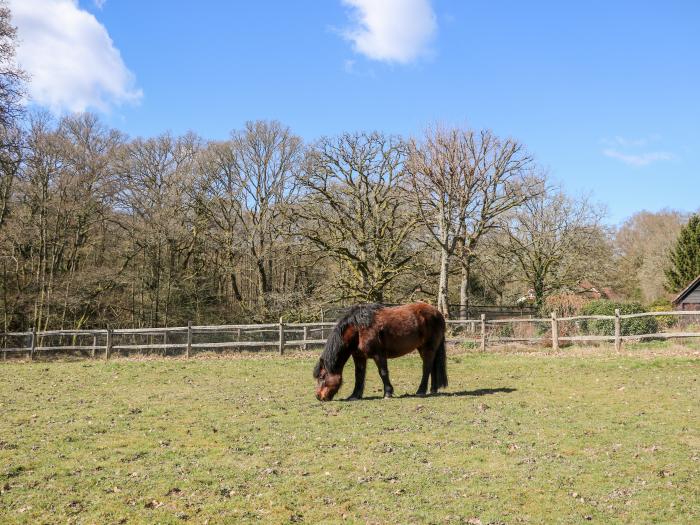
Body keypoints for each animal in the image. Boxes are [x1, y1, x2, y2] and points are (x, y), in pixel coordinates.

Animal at [314, 300, 448, 400]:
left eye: (322, 377)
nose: (319, 396)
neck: (359, 329)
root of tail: (437, 313)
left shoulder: (378, 355)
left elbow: (383, 372)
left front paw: (388, 393)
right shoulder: (359, 357)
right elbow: (359, 375)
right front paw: (355, 395)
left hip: (428, 348)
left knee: (426, 367)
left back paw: (421, 390)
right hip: (424, 348)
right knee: (432, 366)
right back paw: (433, 389)